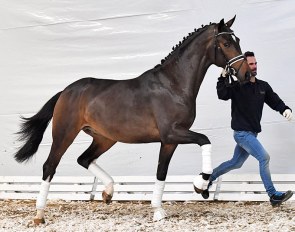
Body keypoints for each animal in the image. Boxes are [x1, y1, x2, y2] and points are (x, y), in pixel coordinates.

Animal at [13, 16, 250, 223]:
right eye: (226, 43)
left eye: (238, 40)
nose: (247, 74)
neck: (173, 85)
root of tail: (66, 91)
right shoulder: (172, 133)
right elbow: (204, 140)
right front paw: (200, 184)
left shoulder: (169, 141)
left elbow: (161, 172)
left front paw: (158, 211)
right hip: (64, 134)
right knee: (49, 166)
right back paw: (39, 215)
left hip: (105, 138)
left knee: (84, 159)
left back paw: (108, 192)